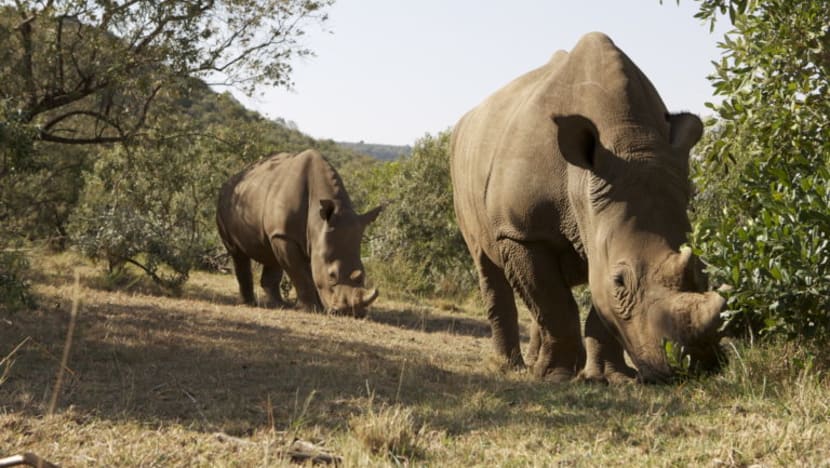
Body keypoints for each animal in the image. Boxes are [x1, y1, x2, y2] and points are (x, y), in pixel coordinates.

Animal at [216, 149, 383, 317]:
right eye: (332, 275)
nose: (351, 312)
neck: (317, 220)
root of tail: (229, 182)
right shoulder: (286, 236)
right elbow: (301, 273)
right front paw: (310, 309)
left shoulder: (310, 238)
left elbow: (309, 271)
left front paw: (318, 307)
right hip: (226, 204)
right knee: (237, 253)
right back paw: (249, 304)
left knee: (271, 254)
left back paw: (278, 305)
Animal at [450, 32, 724, 383]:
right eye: (621, 281)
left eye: (703, 270)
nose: (695, 366)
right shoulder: (521, 231)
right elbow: (555, 304)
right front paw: (556, 377)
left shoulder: (601, 226)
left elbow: (593, 303)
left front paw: (611, 378)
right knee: (488, 266)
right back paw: (511, 366)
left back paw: (535, 361)